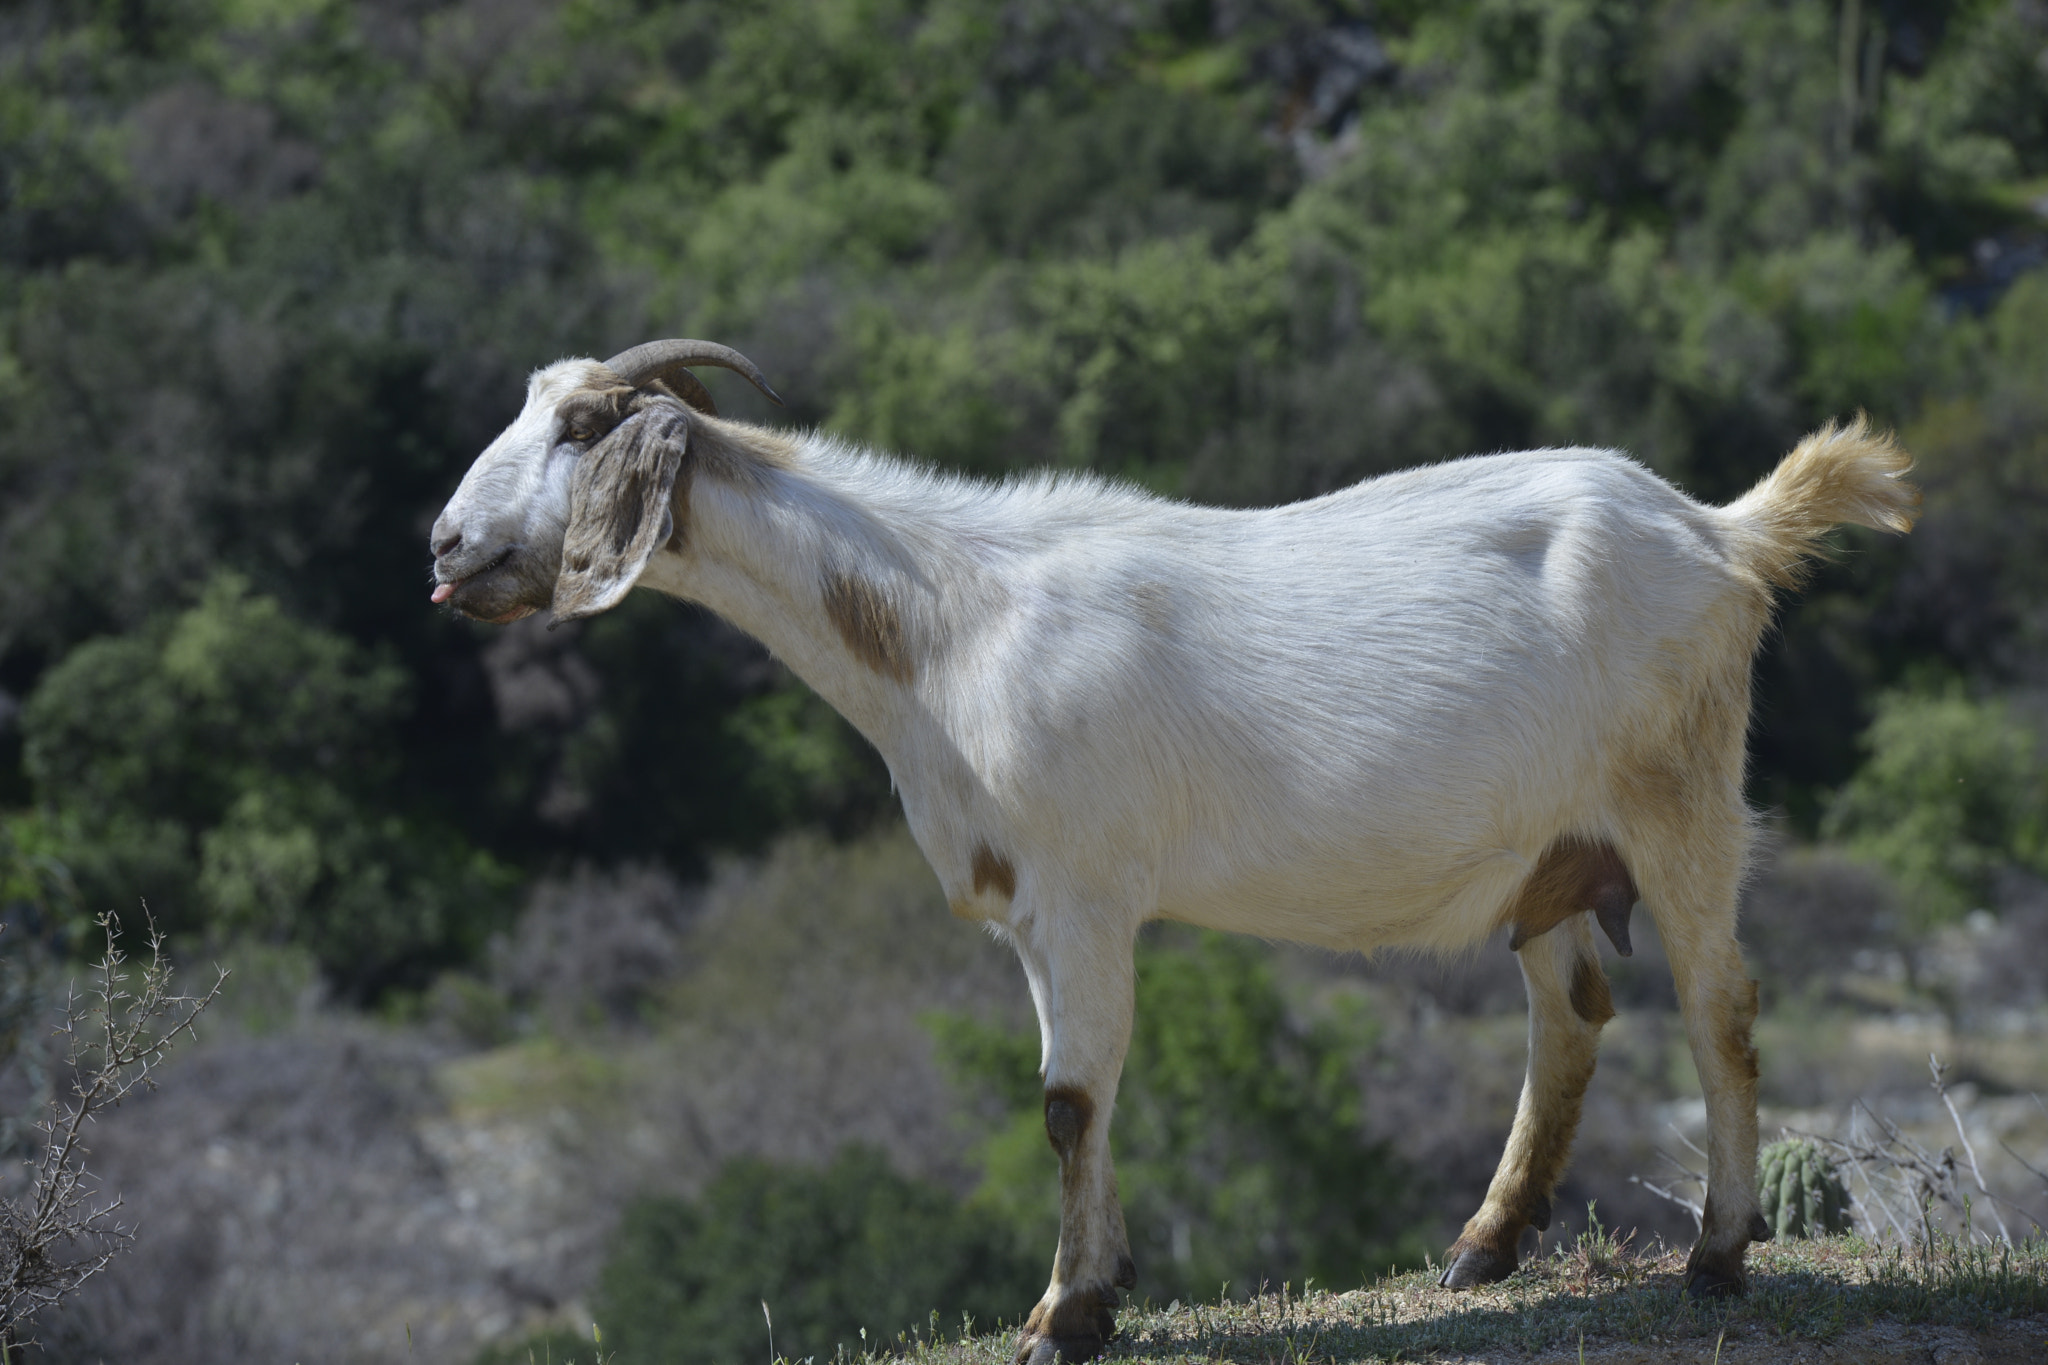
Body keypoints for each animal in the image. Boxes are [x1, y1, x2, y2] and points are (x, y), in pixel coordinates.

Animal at [430, 339, 1917, 1363]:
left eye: (580, 425)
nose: (445, 545)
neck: (944, 621)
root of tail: (1722, 531)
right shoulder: (1032, 910)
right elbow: (1071, 1099)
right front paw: (1101, 1286)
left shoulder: (1084, 892)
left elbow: (1068, 1099)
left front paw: (1061, 1316)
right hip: (1551, 852)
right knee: (1573, 1016)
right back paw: (1485, 1246)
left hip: (1681, 796)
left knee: (1720, 1002)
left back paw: (1717, 1256)